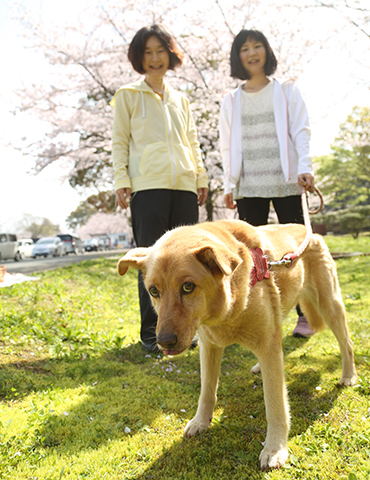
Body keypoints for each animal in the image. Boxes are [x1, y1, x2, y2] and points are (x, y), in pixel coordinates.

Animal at [117, 219, 356, 470]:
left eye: (187, 287)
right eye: (154, 291)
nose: (164, 343)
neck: (224, 311)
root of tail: (309, 230)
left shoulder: (265, 344)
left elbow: (275, 404)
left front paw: (275, 448)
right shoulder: (209, 346)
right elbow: (207, 391)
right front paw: (201, 421)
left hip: (330, 305)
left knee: (346, 343)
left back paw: (349, 376)